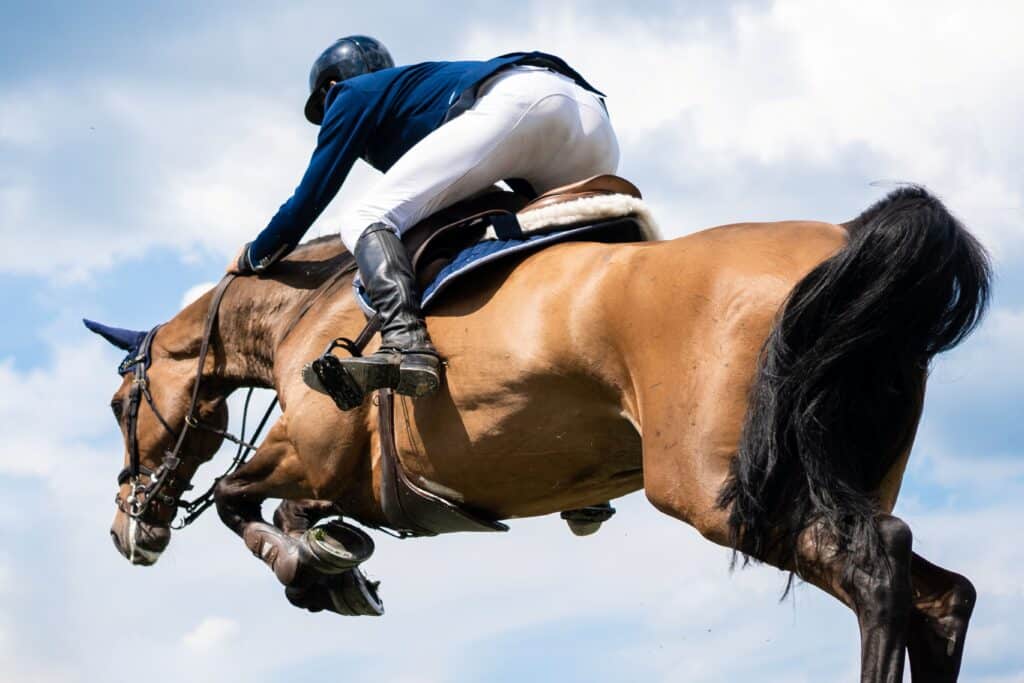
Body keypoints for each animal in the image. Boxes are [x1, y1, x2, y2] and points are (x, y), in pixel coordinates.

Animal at [88, 186, 989, 682]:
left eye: (119, 403)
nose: (126, 528)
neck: (304, 309)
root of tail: (843, 241)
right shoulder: (334, 476)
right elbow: (286, 512)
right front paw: (334, 561)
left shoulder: (305, 451)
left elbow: (237, 499)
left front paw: (312, 570)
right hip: (834, 476)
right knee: (938, 593)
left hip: (718, 492)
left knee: (879, 567)